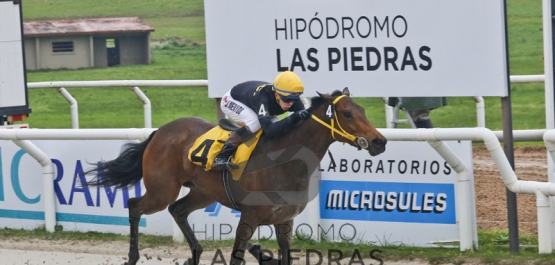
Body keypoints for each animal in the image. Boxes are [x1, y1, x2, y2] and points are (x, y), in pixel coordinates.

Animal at [87, 88, 386, 264]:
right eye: (347, 113)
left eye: (362, 110)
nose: (379, 142)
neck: (285, 161)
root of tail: (159, 132)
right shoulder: (249, 217)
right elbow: (237, 257)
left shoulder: (285, 220)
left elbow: (285, 256)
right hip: (162, 190)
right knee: (135, 206)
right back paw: (133, 256)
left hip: (203, 192)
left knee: (178, 210)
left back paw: (194, 254)